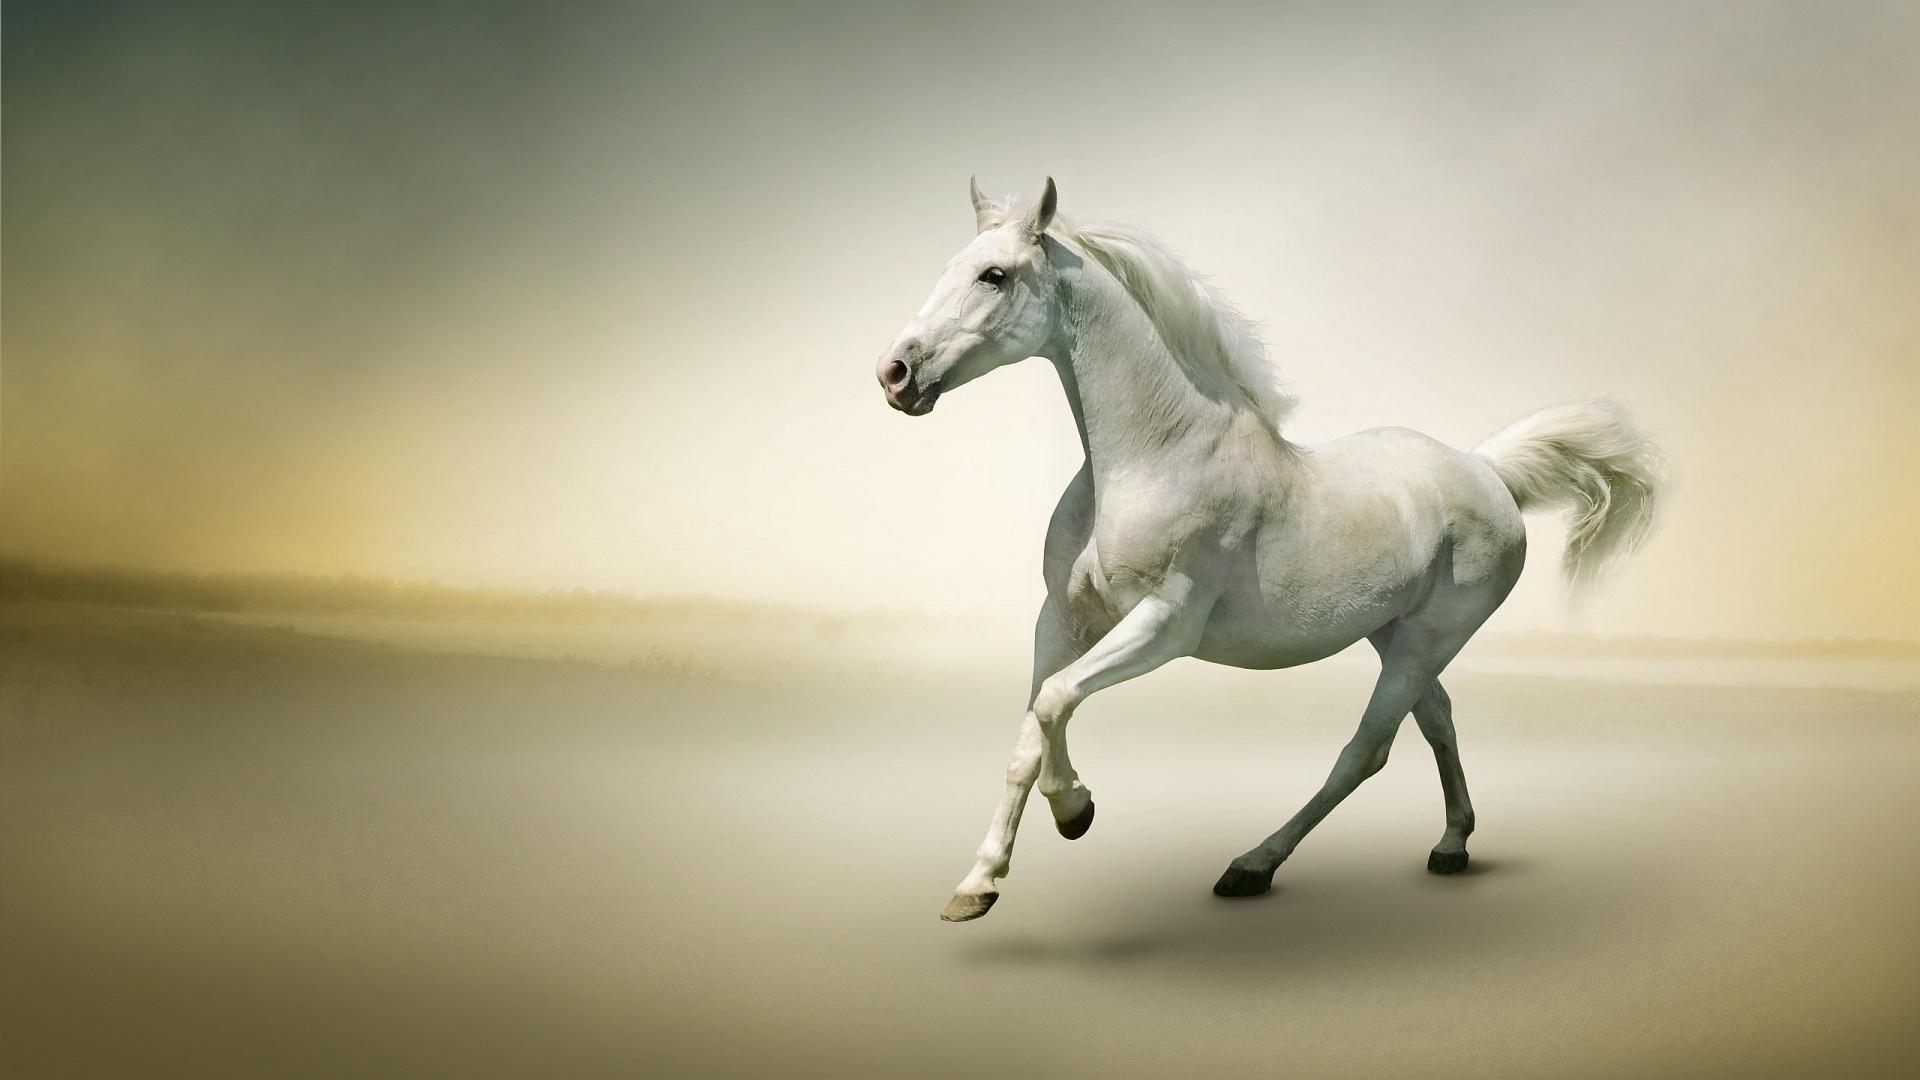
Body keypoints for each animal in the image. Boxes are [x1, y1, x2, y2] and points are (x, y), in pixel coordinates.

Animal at [874, 177, 1663, 923]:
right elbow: (1031, 728)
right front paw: (977, 885)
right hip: (1393, 632)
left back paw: (1252, 866)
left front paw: (1076, 811)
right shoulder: (1062, 619)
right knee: (1437, 716)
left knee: (1367, 750)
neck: (1155, 458)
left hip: (1428, 638)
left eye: (995, 275)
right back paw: (1451, 844)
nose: (895, 374)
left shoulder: (1164, 626)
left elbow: (1055, 702)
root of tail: (1487, 470)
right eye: (952, 266)